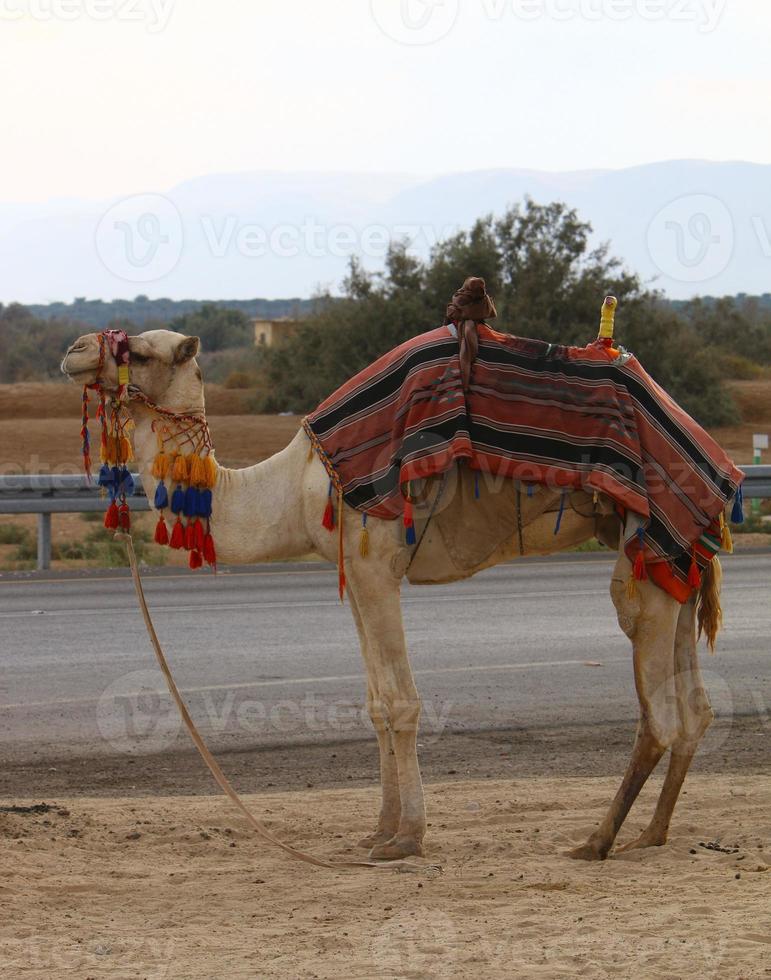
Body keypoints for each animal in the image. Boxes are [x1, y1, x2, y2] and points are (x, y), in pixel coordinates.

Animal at [63, 334, 720, 860]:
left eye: (142, 351)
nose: (75, 350)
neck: (290, 486)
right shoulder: (355, 574)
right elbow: (377, 704)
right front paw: (378, 830)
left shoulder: (377, 563)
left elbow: (402, 702)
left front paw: (407, 838)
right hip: (676, 563)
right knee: (695, 711)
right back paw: (651, 835)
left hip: (645, 558)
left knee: (659, 713)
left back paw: (597, 841)